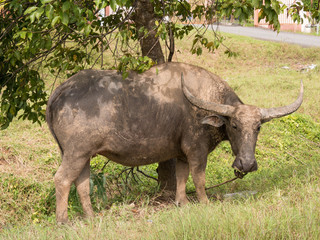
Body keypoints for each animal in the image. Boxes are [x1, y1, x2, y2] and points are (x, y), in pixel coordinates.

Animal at [45, 62, 302, 223]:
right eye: (235, 126)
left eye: (258, 127)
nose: (247, 164)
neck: (205, 104)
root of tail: (60, 92)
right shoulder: (196, 150)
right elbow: (198, 178)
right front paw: (204, 203)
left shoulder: (180, 154)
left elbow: (181, 177)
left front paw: (182, 203)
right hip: (76, 153)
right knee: (62, 180)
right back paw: (63, 220)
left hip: (82, 155)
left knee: (81, 183)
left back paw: (89, 217)